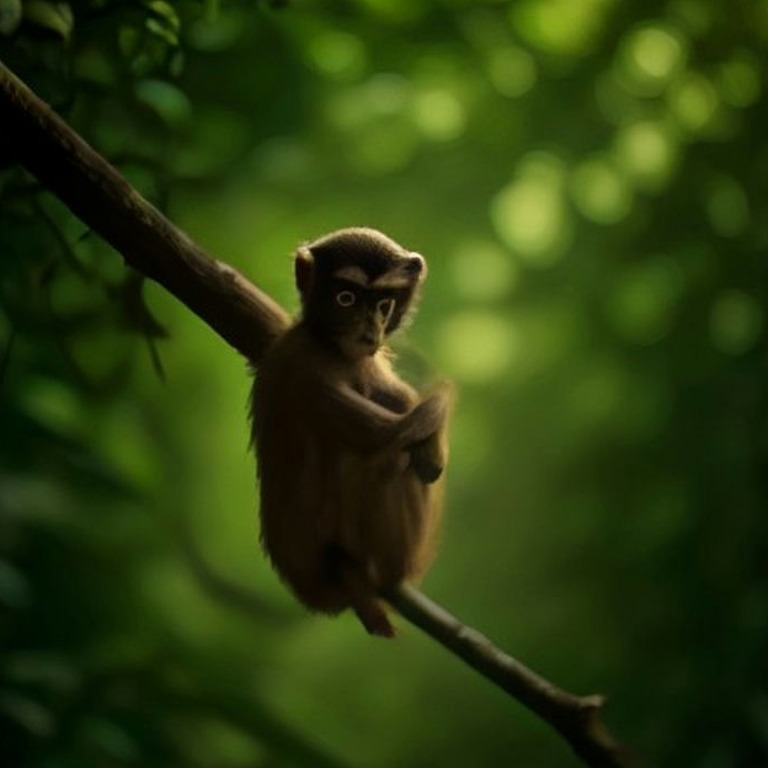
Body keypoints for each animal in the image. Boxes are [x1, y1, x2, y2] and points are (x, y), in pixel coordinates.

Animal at [249, 227, 453, 637]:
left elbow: (404, 404)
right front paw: (433, 425)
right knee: (395, 459)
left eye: (384, 305)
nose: (369, 330)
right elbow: (395, 434)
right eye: (346, 299)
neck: (327, 344)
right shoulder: (309, 373)